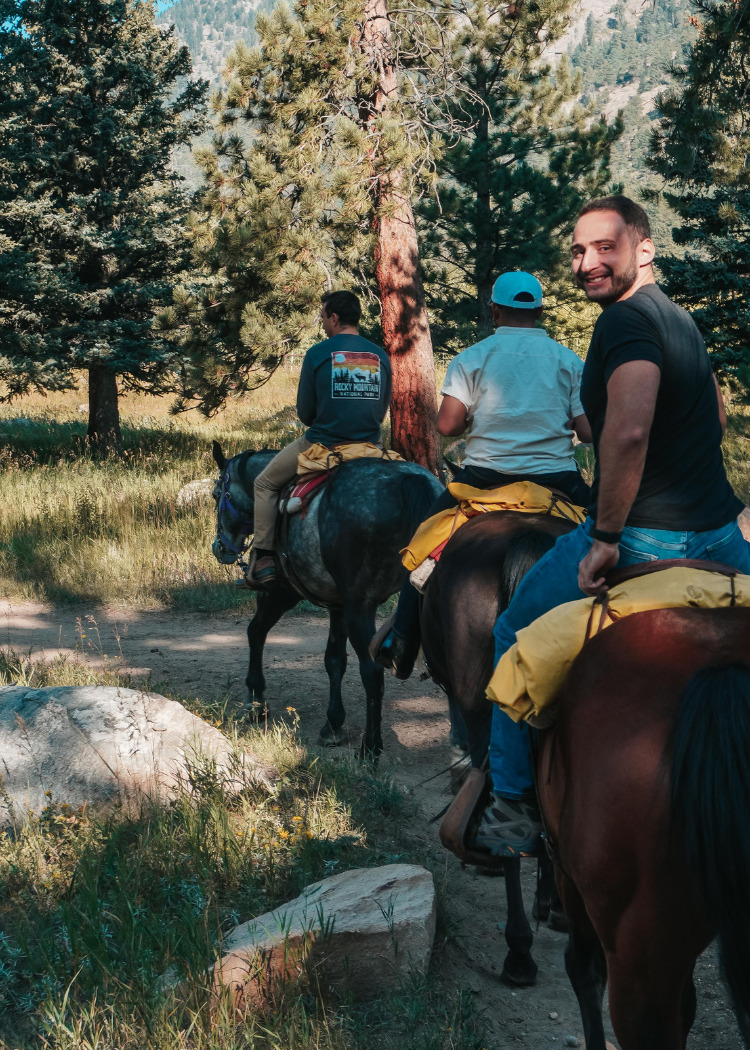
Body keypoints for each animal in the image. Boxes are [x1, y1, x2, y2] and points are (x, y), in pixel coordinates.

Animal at [209, 443, 443, 755]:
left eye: (216, 494)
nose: (220, 547)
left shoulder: (283, 590)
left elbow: (255, 631)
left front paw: (256, 699)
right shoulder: (338, 606)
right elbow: (334, 660)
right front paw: (333, 724)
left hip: (359, 609)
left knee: (372, 671)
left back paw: (371, 747)